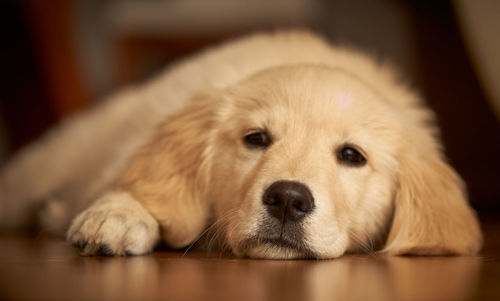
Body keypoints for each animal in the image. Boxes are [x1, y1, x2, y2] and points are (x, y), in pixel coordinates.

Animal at [0, 30, 484, 258]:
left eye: (352, 156)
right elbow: (137, 182)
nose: (287, 199)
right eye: (256, 139)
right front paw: (118, 214)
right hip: (50, 163)